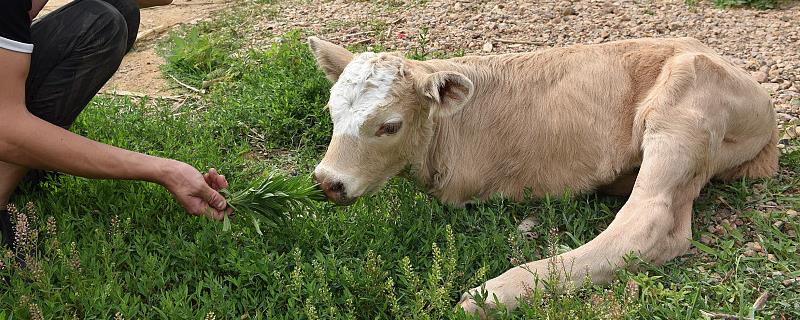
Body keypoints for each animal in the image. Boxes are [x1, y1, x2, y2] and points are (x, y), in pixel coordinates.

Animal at [304, 36, 776, 314]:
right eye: (332, 112)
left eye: (390, 125)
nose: (328, 181)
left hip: (681, 115)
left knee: (650, 222)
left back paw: (491, 295)